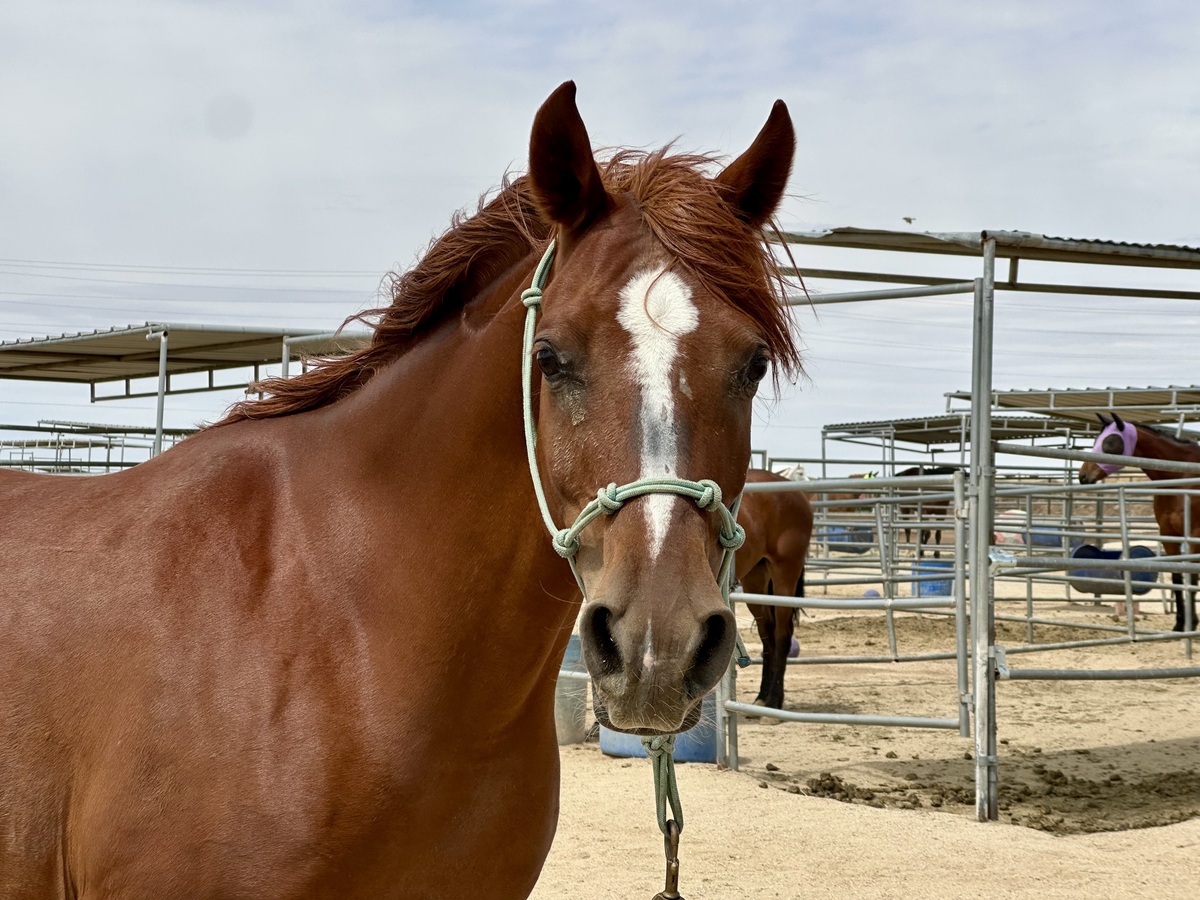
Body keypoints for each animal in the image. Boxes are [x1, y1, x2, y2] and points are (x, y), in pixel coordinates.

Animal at [736, 469, 814, 710]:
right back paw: (761, 696)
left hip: (784, 577)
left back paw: (773, 701)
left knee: (782, 635)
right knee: (767, 635)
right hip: (755, 580)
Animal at [1078, 412, 1200, 633]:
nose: (1083, 476)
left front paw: (1191, 624)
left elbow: (1193, 579)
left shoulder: (1195, 535)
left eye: (1110, 442)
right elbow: (1178, 577)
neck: (1181, 475)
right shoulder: (1168, 534)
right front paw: (1180, 624)